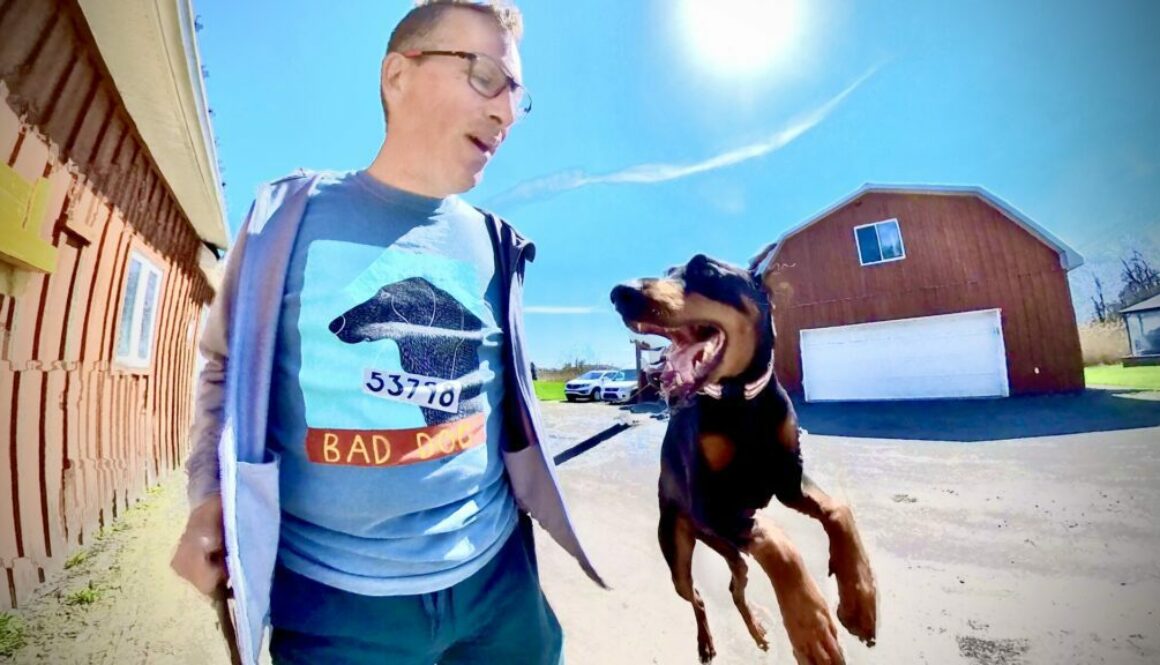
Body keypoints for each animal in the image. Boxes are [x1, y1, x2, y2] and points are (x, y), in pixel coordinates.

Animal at [612, 253, 872, 659]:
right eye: (668, 271)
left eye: (705, 269)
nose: (621, 293)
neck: (742, 402)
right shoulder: (711, 502)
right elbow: (778, 540)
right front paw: (810, 623)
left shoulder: (788, 479)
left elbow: (839, 509)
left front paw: (860, 598)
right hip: (680, 545)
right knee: (696, 596)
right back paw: (706, 644)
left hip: (729, 547)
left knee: (736, 586)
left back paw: (759, 632)